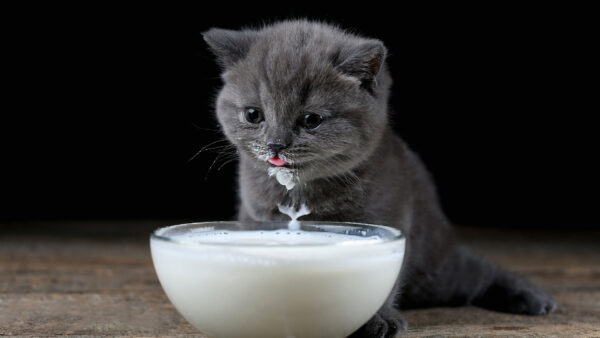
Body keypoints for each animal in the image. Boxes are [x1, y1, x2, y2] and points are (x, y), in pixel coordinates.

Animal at [203, 19, 556, 336]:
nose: (276, 145)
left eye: (311, 119)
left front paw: (376, 320)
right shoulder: (256, 213)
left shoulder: (387, 216)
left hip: (435, 270)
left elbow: (381, 277)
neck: (303, 189)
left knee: (476, 272)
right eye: (253, 115)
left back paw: (532, 297)